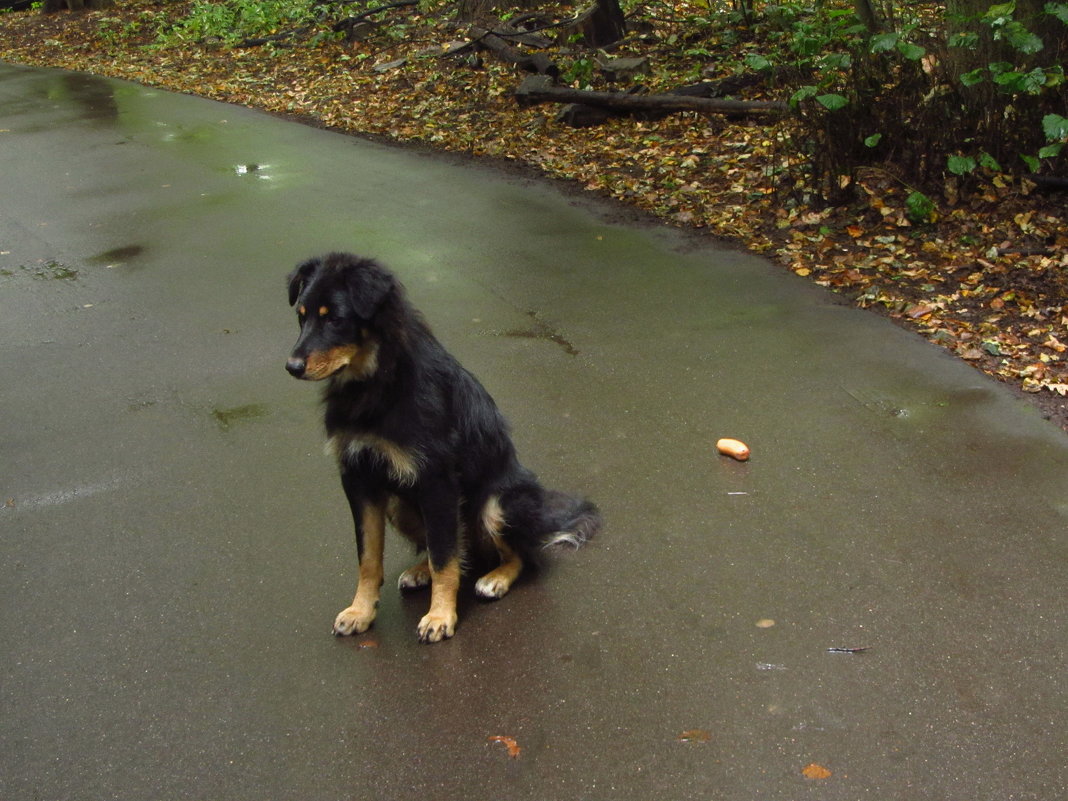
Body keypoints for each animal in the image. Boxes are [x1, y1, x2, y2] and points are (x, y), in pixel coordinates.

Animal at [284, 254, 602, 645]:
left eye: (335, 318)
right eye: (302, 316)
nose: (292, 367)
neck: (377, 384)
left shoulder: (436, 481)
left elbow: (444, 560)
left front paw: (440, 616)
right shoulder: (360, 480)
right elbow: (370, 556)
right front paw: (361, 611)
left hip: (496, 503)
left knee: (517, 556)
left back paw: (495, 578)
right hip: (399, 505)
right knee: (457, 548)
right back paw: (421, 571)